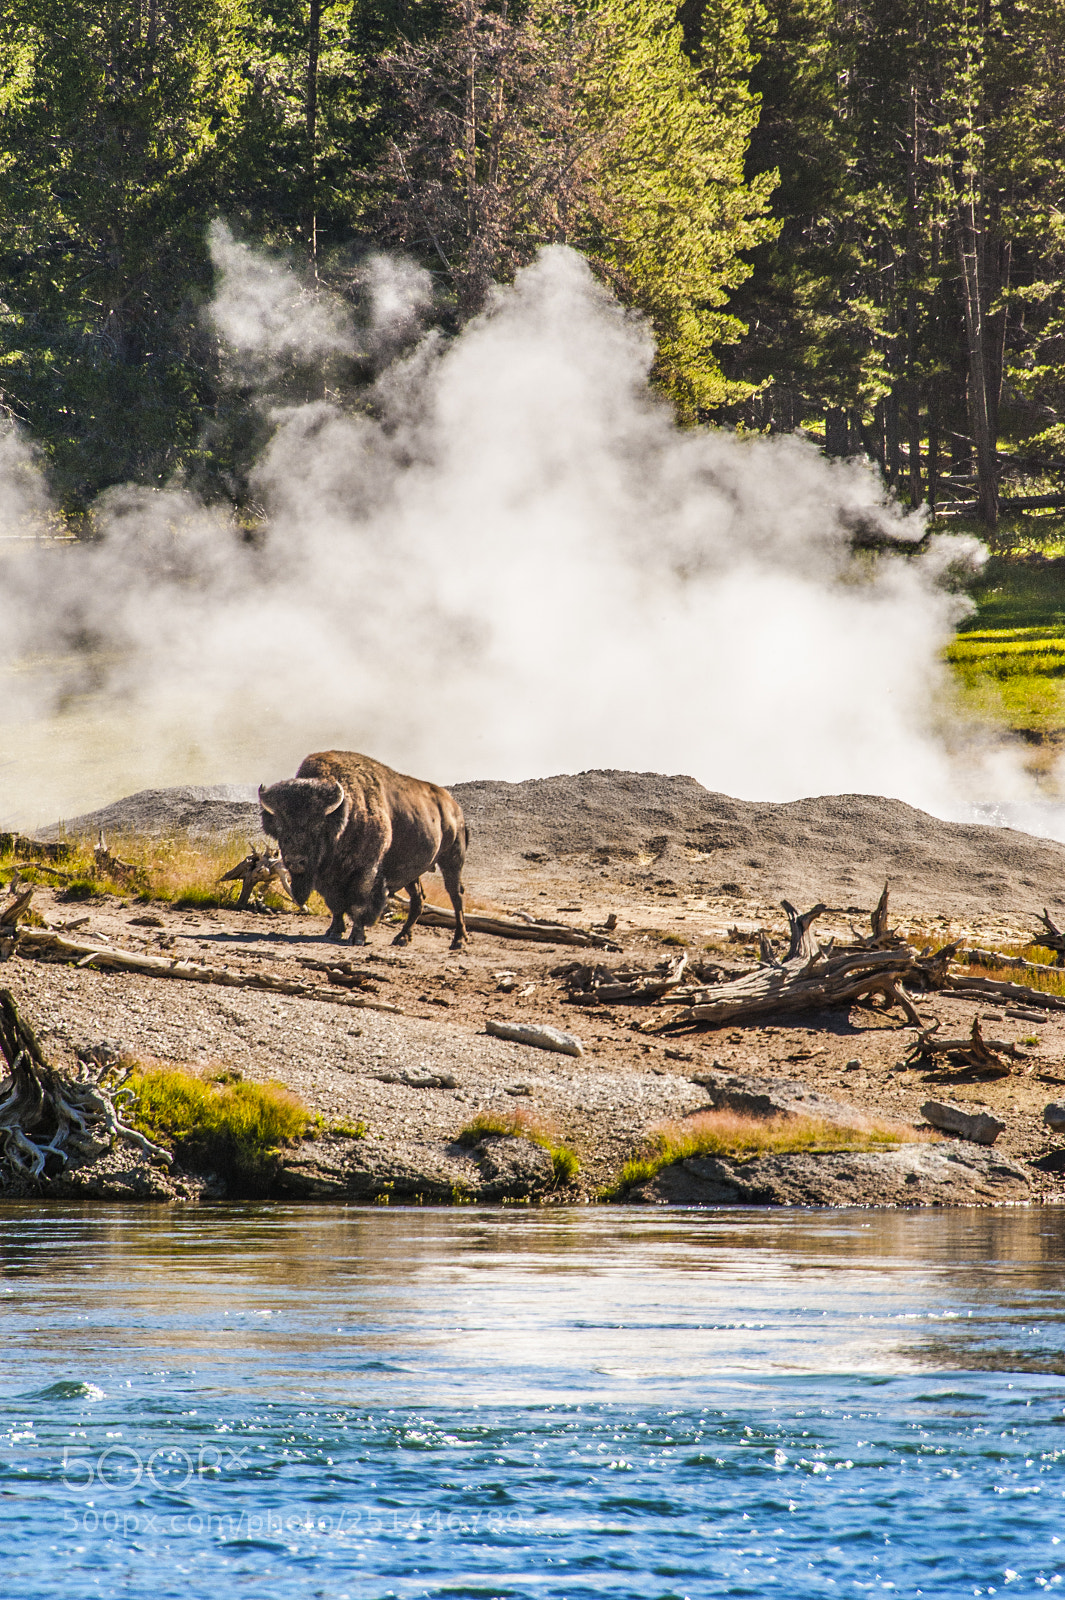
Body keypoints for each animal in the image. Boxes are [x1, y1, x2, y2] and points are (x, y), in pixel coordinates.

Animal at [258, 750, 468, 949]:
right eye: (279, 827)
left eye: (317, 825)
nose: (295, 861)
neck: (344, 813)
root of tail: (454, 807)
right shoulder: (328, 879)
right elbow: (335, 905)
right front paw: (333, 931)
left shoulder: (365, 872)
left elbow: (359, 904)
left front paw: (357, 937)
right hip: (413, 871)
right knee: (419, 899)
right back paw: (402, 938)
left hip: (452, 859)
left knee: (456, 896)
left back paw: (459, 941)